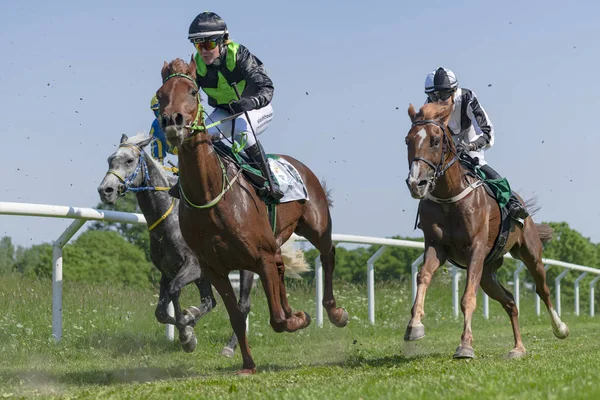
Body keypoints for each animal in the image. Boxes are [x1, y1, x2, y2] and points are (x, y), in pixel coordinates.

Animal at [157, 57, 350, 374]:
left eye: (193, 92)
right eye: (160, 94)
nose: (172, 122)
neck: (211, 195)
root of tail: (299, 165)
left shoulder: (261, 257)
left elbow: (277, 320)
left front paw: (299, 319)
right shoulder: (215, 269)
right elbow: (237, 316)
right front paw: (247, 363)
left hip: (317, 226)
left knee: (328, 254)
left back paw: (335, 312)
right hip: (277, 240)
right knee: (283, 267)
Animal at [404, 101, 568, 358]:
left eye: (435, 140)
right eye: (407, 140)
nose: (416, 183)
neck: (449, 197)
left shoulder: (476, 249)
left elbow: (467, 297)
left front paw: (465, 345)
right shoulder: (436, 246)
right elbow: (423, 276)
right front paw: (415, 326)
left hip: (530, 253)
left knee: (543, 290)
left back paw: (559, 328)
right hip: (488, 273)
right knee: (510, 301)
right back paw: (518, 348)